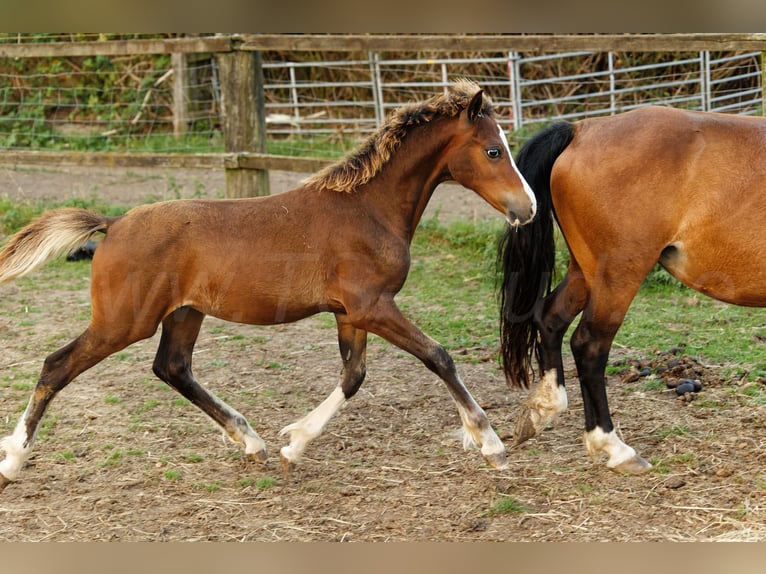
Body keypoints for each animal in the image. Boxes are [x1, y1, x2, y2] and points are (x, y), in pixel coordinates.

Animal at [0, 82, 536, 496]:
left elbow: (353, 376)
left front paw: (292, 446)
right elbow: (437, 356)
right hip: (123, 321)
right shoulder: (373, 306)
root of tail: (112, 225)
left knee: (172, 368)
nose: (528, 207)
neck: (368, 209)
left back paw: (251, 441)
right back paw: (13, 461)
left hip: (185, 313)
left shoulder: (351, 312)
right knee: (57, 365)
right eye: (493, 150)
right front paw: (491, 445)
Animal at [498, 107, 766, 476]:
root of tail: (582, 130)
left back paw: (545, 407)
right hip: (618, 276)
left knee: (550, 317)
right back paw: (613, 446)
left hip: (586, 271)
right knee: (589, 346)